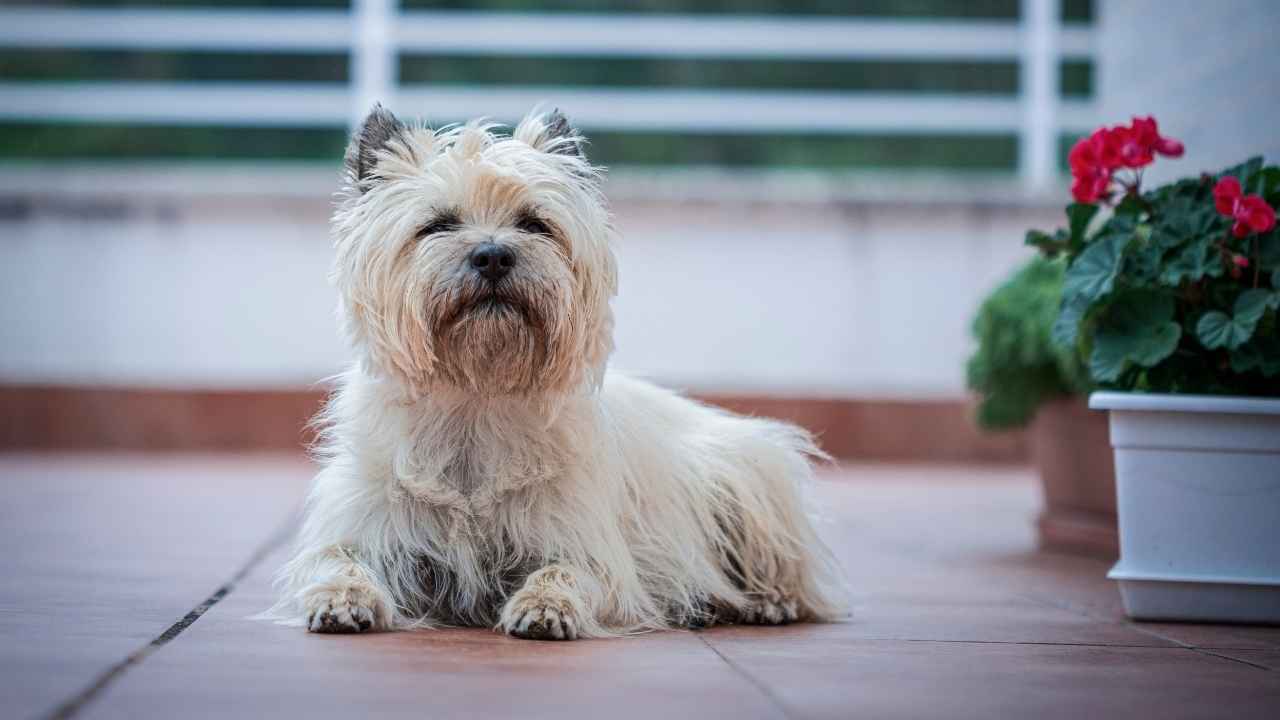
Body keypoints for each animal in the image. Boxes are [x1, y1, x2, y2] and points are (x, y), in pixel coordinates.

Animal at [267, 103, 849, 635]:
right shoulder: (365, 528)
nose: (493, 256)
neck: (476, 395)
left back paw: (764, 601)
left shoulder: (586, 547)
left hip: (746, 474)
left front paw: (545, 607)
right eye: (436, 225)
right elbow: (339, 562)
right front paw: (342, 600)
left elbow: (563, 572)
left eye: (534, 224)